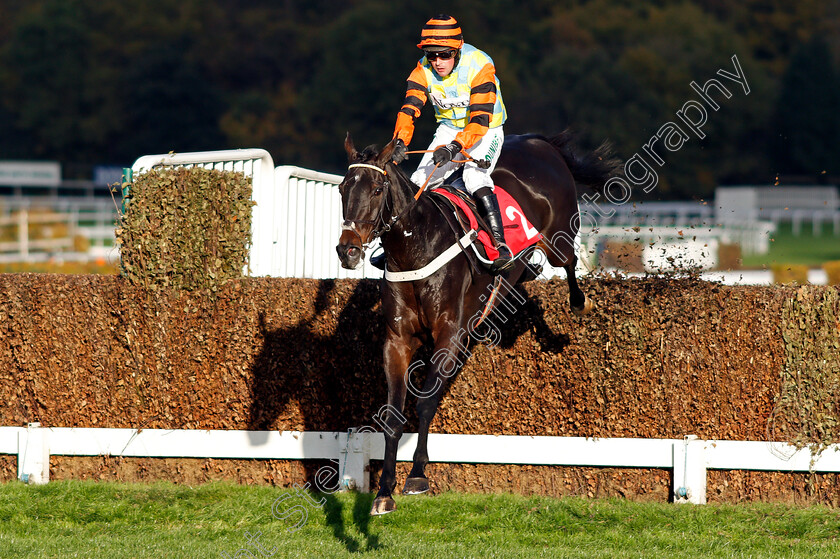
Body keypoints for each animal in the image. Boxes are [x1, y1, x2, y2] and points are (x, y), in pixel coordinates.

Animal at [336, 131, 624, 516]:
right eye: (343, 188)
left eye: (378, 188)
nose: (347, 251)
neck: (417, 248)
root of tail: (537, 142)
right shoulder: (397, 340)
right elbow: (394, 415)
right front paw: (384, 491)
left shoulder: (450, 334)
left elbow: (425, 402)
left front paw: (417, 476)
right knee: (526, 272)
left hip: (559, 235)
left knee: (569, 261)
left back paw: (578, 302)